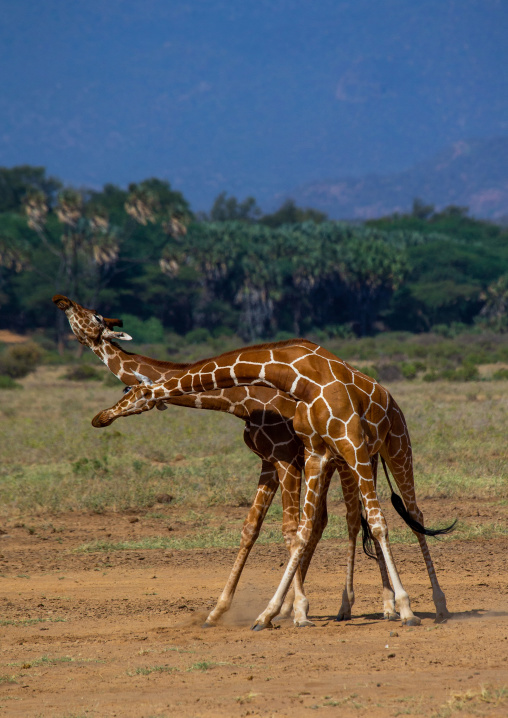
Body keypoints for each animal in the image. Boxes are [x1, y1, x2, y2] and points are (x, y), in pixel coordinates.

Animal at [53, 293, 390, 626]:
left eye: (95, 315)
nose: (62, 300)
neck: (240, 400)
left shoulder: (283, 456)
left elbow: (290, 529)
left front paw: (296, 610)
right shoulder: (269, 461)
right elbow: (251, 528)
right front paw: (222, 610)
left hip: (347, 459)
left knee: (353, 519)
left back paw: (365, 605)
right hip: (333, 462)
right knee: (327, 520)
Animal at [91, 339, 456, 629]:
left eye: (132, 392)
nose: (100, 417)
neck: (298, 377)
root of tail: (389, 397)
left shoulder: (331, 448)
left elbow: (376, 524)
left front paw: (406, 608)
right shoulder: (314, 454)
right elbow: (297, 532)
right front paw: (270, 613)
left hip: (394, 448)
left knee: (411, 515)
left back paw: (434, 606)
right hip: (360, 458)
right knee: (356, 518)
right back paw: (374, 606)